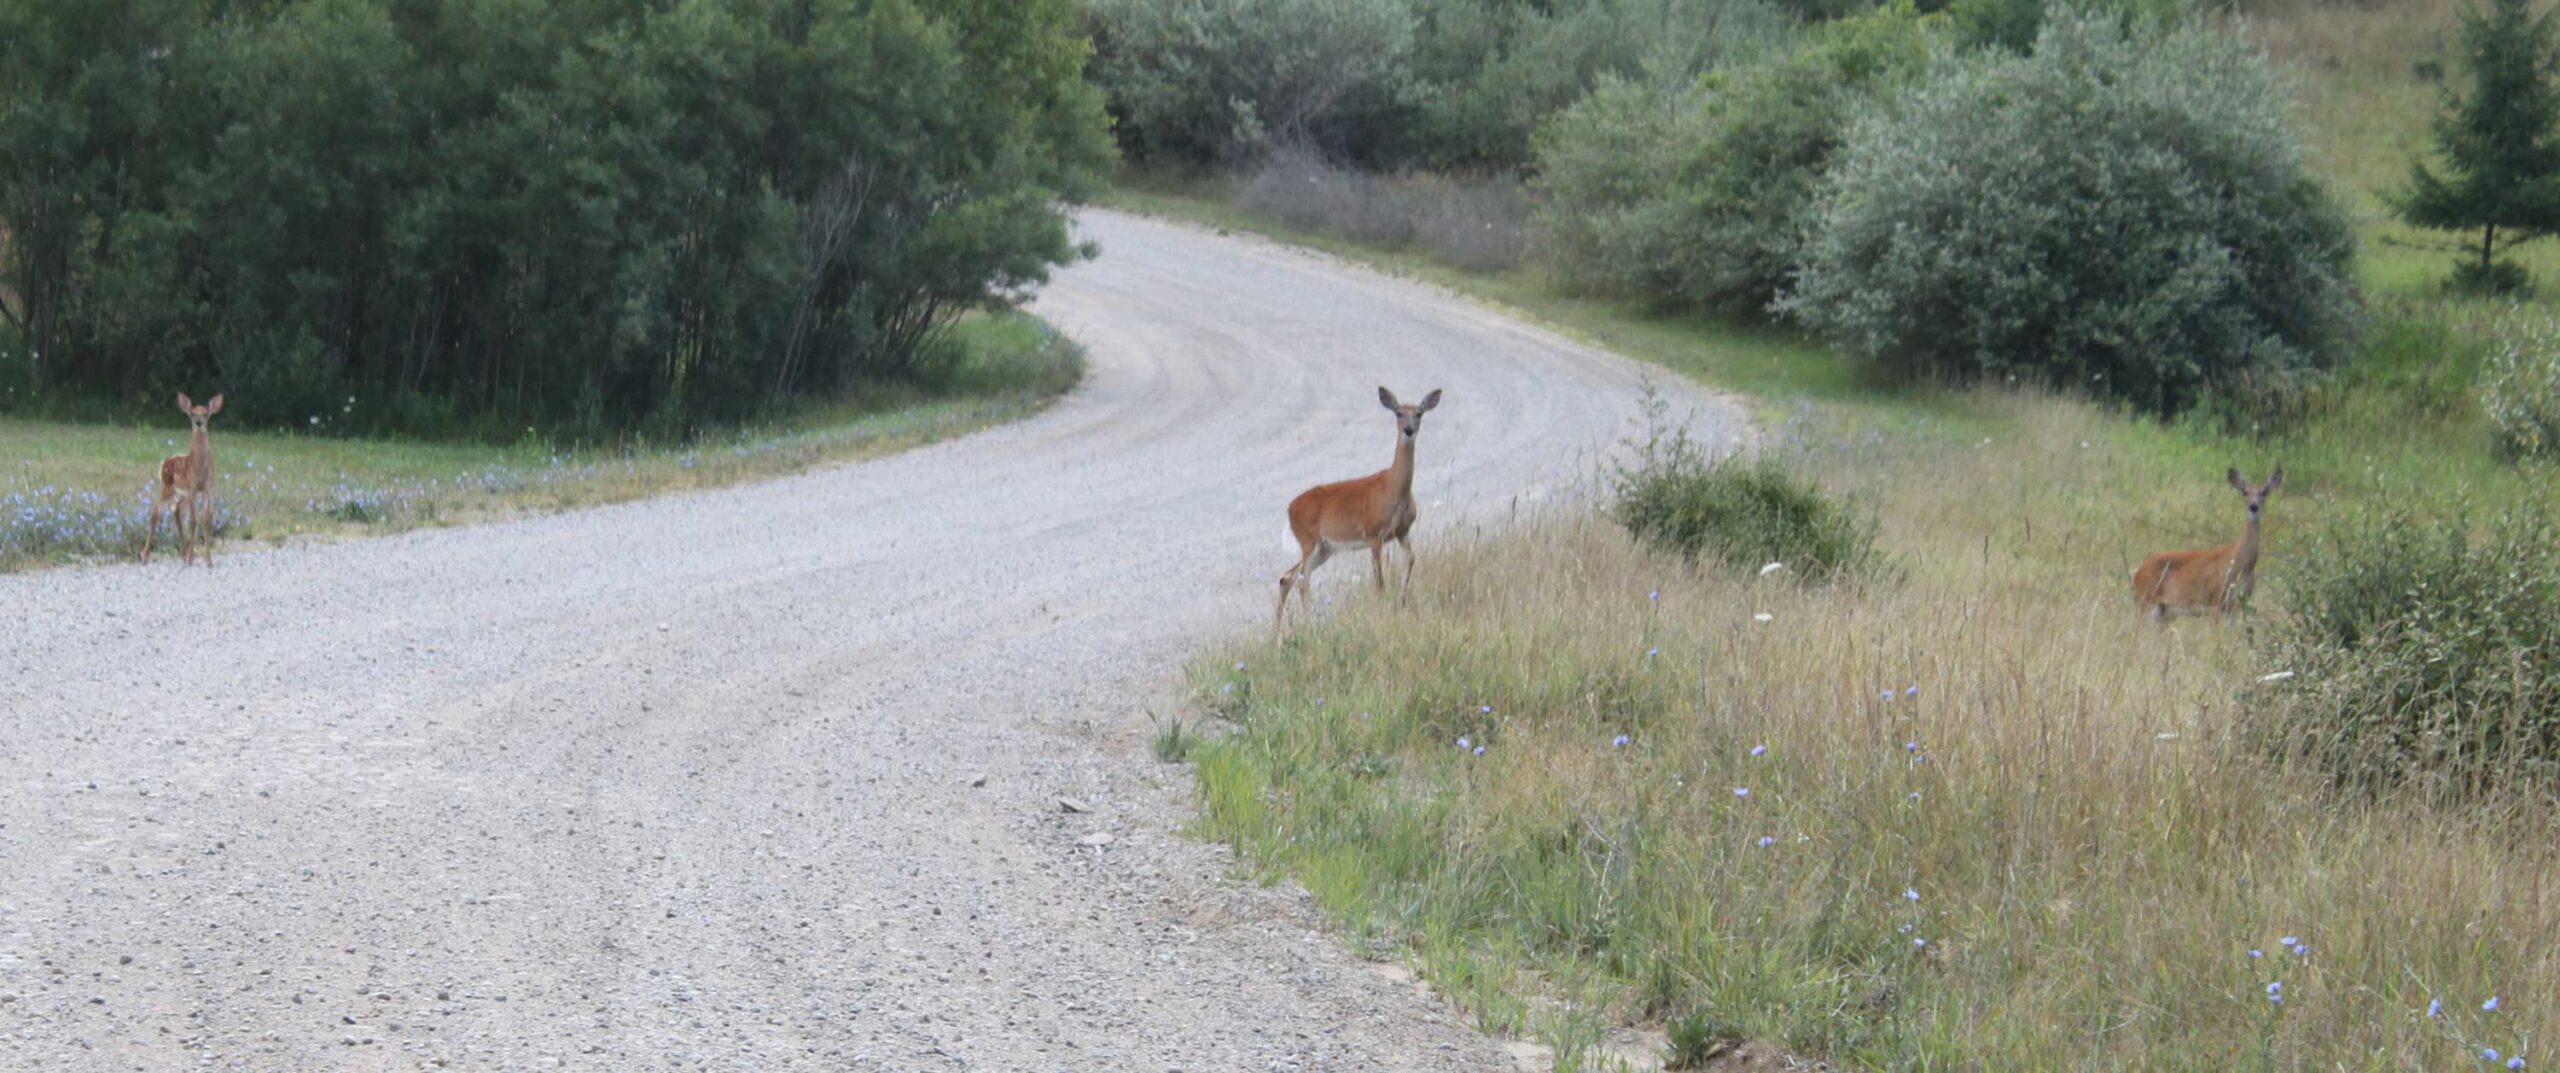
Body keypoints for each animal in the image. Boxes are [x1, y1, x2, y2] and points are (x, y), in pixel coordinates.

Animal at [143, 393, 223, 567]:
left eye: (205, 414)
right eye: (192, 414)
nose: (198, 423)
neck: (199, 467)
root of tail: (163, 461)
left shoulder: (207, 488)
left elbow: (206, 519)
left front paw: (208, 559)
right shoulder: (192, 488)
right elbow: (193, 520)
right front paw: (192, 558)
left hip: (181, 494)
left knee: (176, 510)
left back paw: (183, 554)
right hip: (166, 487)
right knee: (155, 510)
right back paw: (145, 555)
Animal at [1274, 386, 1442, 640]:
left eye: (1419, 413)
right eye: (1398, 413)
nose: (1409, 430)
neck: (1394, 489)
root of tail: (1289, 508)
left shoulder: (1402, 530)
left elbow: (1411, 559)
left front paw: (1402, 601)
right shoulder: (1374, 532)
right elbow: (1379, 580)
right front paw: (1383, 608)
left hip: (1325, 548)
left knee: (1287, 578)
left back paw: (1277, 635)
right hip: (1309, 540)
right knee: (1302, 580)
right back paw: (1308, 627)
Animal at [2131, 465, 2282, 623]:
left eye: (2264, 492)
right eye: (2245, 492)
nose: (2254, 506)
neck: (2241, 564)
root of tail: (2137, 572)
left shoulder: (2237, 605)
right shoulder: (2215, 601)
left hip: (2164, 611)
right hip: (2148, 602)